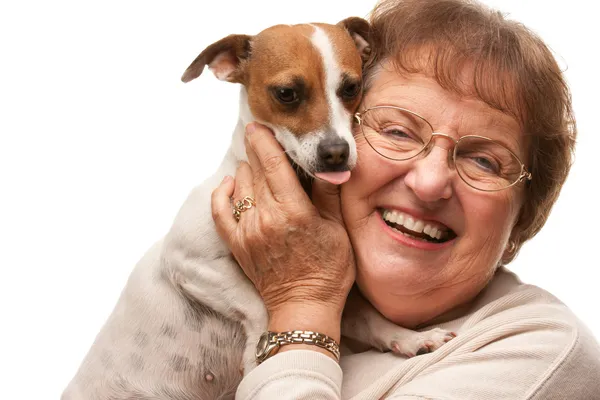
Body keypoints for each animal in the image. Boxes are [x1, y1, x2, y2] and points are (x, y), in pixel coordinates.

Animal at [62, 19, 454, 400]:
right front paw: (257, 354)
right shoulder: (189, 261)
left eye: (351, 88)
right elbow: (258, 305)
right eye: (286, 93)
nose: (336, 153)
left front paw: (411, 337)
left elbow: (371, 320)